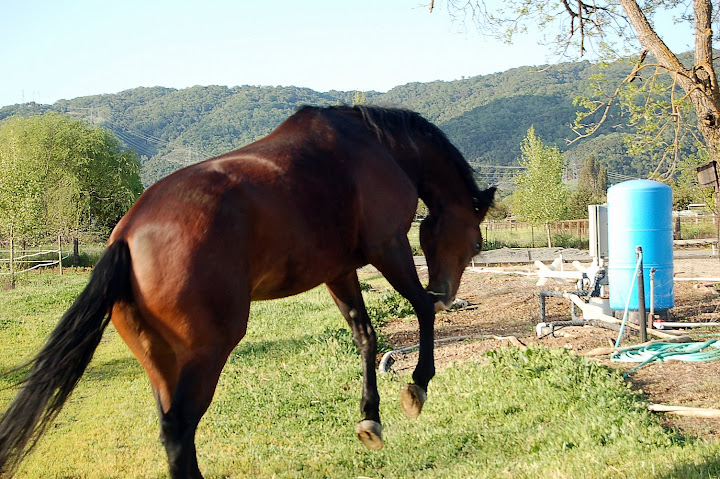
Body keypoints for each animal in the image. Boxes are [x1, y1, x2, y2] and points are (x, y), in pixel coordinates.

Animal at [0, 105, 495, 478]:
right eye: (476, 244)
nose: (448, 291)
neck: (377, 147)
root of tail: (125, 237)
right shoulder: (388, 246)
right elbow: (421, 309)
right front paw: (418, 386)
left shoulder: (338, 272)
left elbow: (366, 336)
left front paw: (369, 417)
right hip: (207, 352)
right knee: (179, 431)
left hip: (160, 361)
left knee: (171, 430)